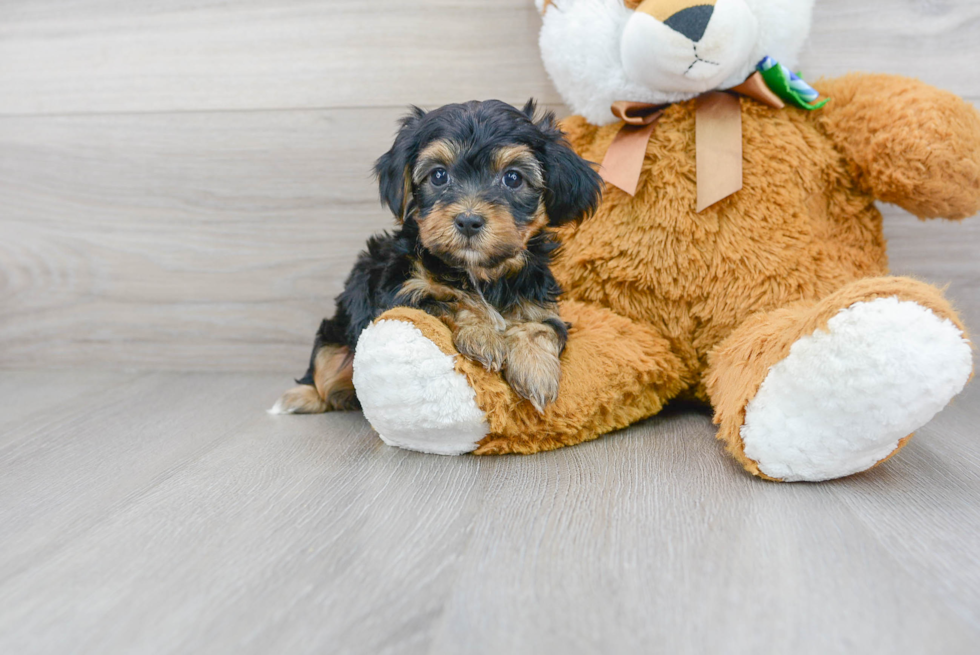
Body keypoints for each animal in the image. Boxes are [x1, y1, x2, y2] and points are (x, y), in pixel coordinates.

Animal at [272, 98, 600, 416]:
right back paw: (301, 397)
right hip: (334, 341)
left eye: (513, 178)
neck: (480, 273)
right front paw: (483, 334)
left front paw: (536, 369)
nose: (468, 220)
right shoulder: (400, 293)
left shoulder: (541, 303)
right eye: (439, 175)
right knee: (325, 379)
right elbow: (449, 300)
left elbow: (542, 327)